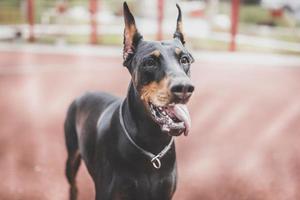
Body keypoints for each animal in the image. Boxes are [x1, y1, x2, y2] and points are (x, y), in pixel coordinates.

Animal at [64, 1, 195, 200]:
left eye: (185, 59)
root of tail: (84, 93)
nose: (185, 88)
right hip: (71, 158)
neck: (152, 146)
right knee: (73, 185)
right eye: (150, 62)